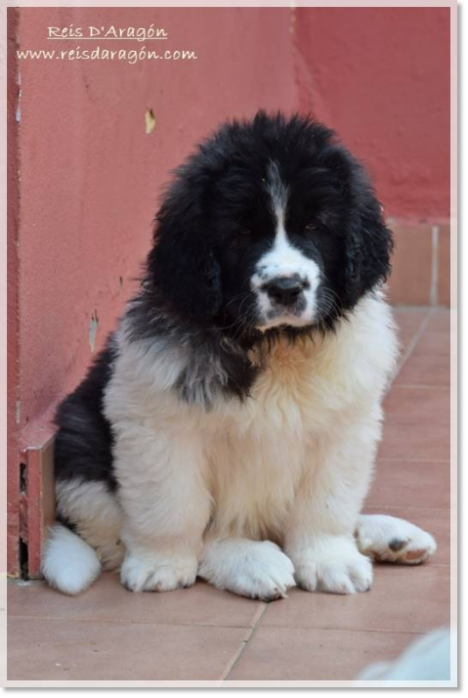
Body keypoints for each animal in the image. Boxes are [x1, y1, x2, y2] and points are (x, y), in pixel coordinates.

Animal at [42, 111, 436, 596]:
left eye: (316, 226)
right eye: (242, 233)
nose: (286, 288)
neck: (275, 346)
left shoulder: (343, 425)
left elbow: (326, 503)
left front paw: (330, 559)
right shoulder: (157, 422)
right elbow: (174, 506)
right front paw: (161, 564)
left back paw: (387, 536)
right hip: (81, 449)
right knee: (177, 532)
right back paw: (252, 562)